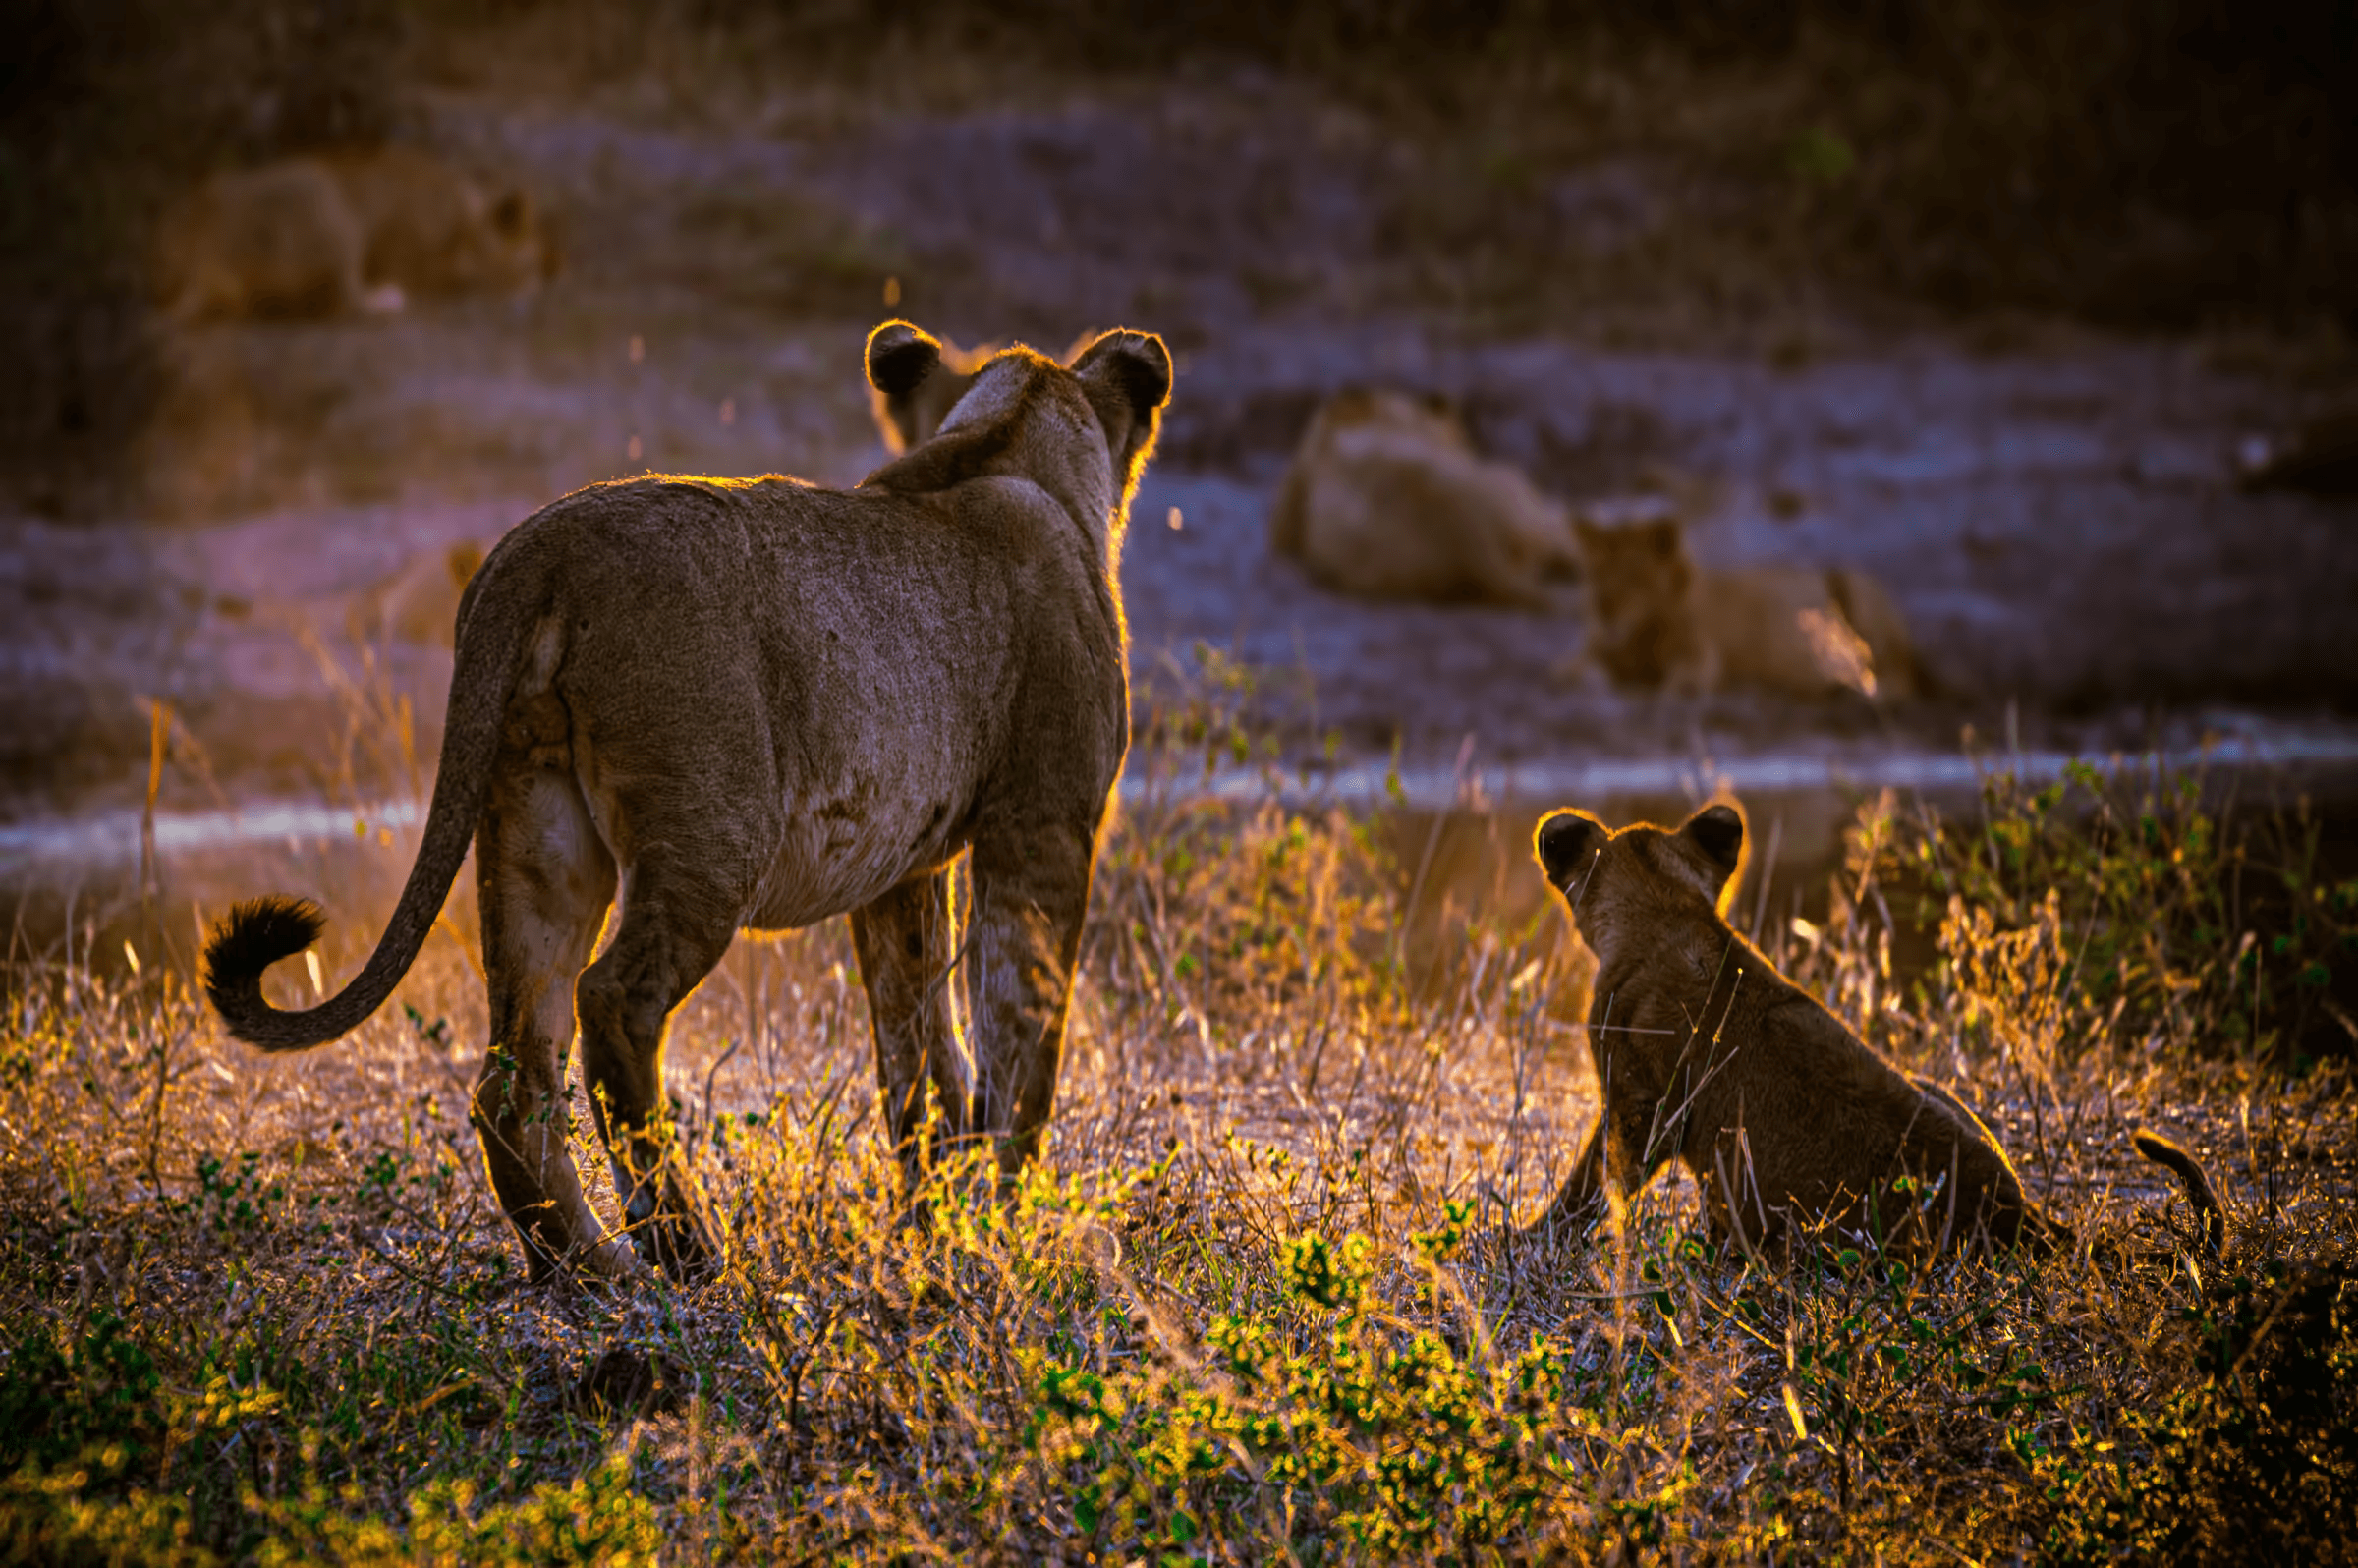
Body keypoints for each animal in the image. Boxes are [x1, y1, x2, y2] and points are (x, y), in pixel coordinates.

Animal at [156, 144, 561, 322]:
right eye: (532, 260)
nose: (555, 276)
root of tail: (204, 259)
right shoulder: (416, 261)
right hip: (331, 209)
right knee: (346, 300)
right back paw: (386, 300)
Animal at [197, 320, 1174, 1282]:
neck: (1011, 445)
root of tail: (538, 549)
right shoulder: (1044, 824)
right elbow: (1023, 1030)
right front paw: (1008, 1228)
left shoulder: (902, 868)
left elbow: (919, 1046)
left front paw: (933, 1222)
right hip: (713, 833)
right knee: (612, 1004)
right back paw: (688, 1252)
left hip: (535, 823)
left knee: (516, 1067)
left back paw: (588, 1268)